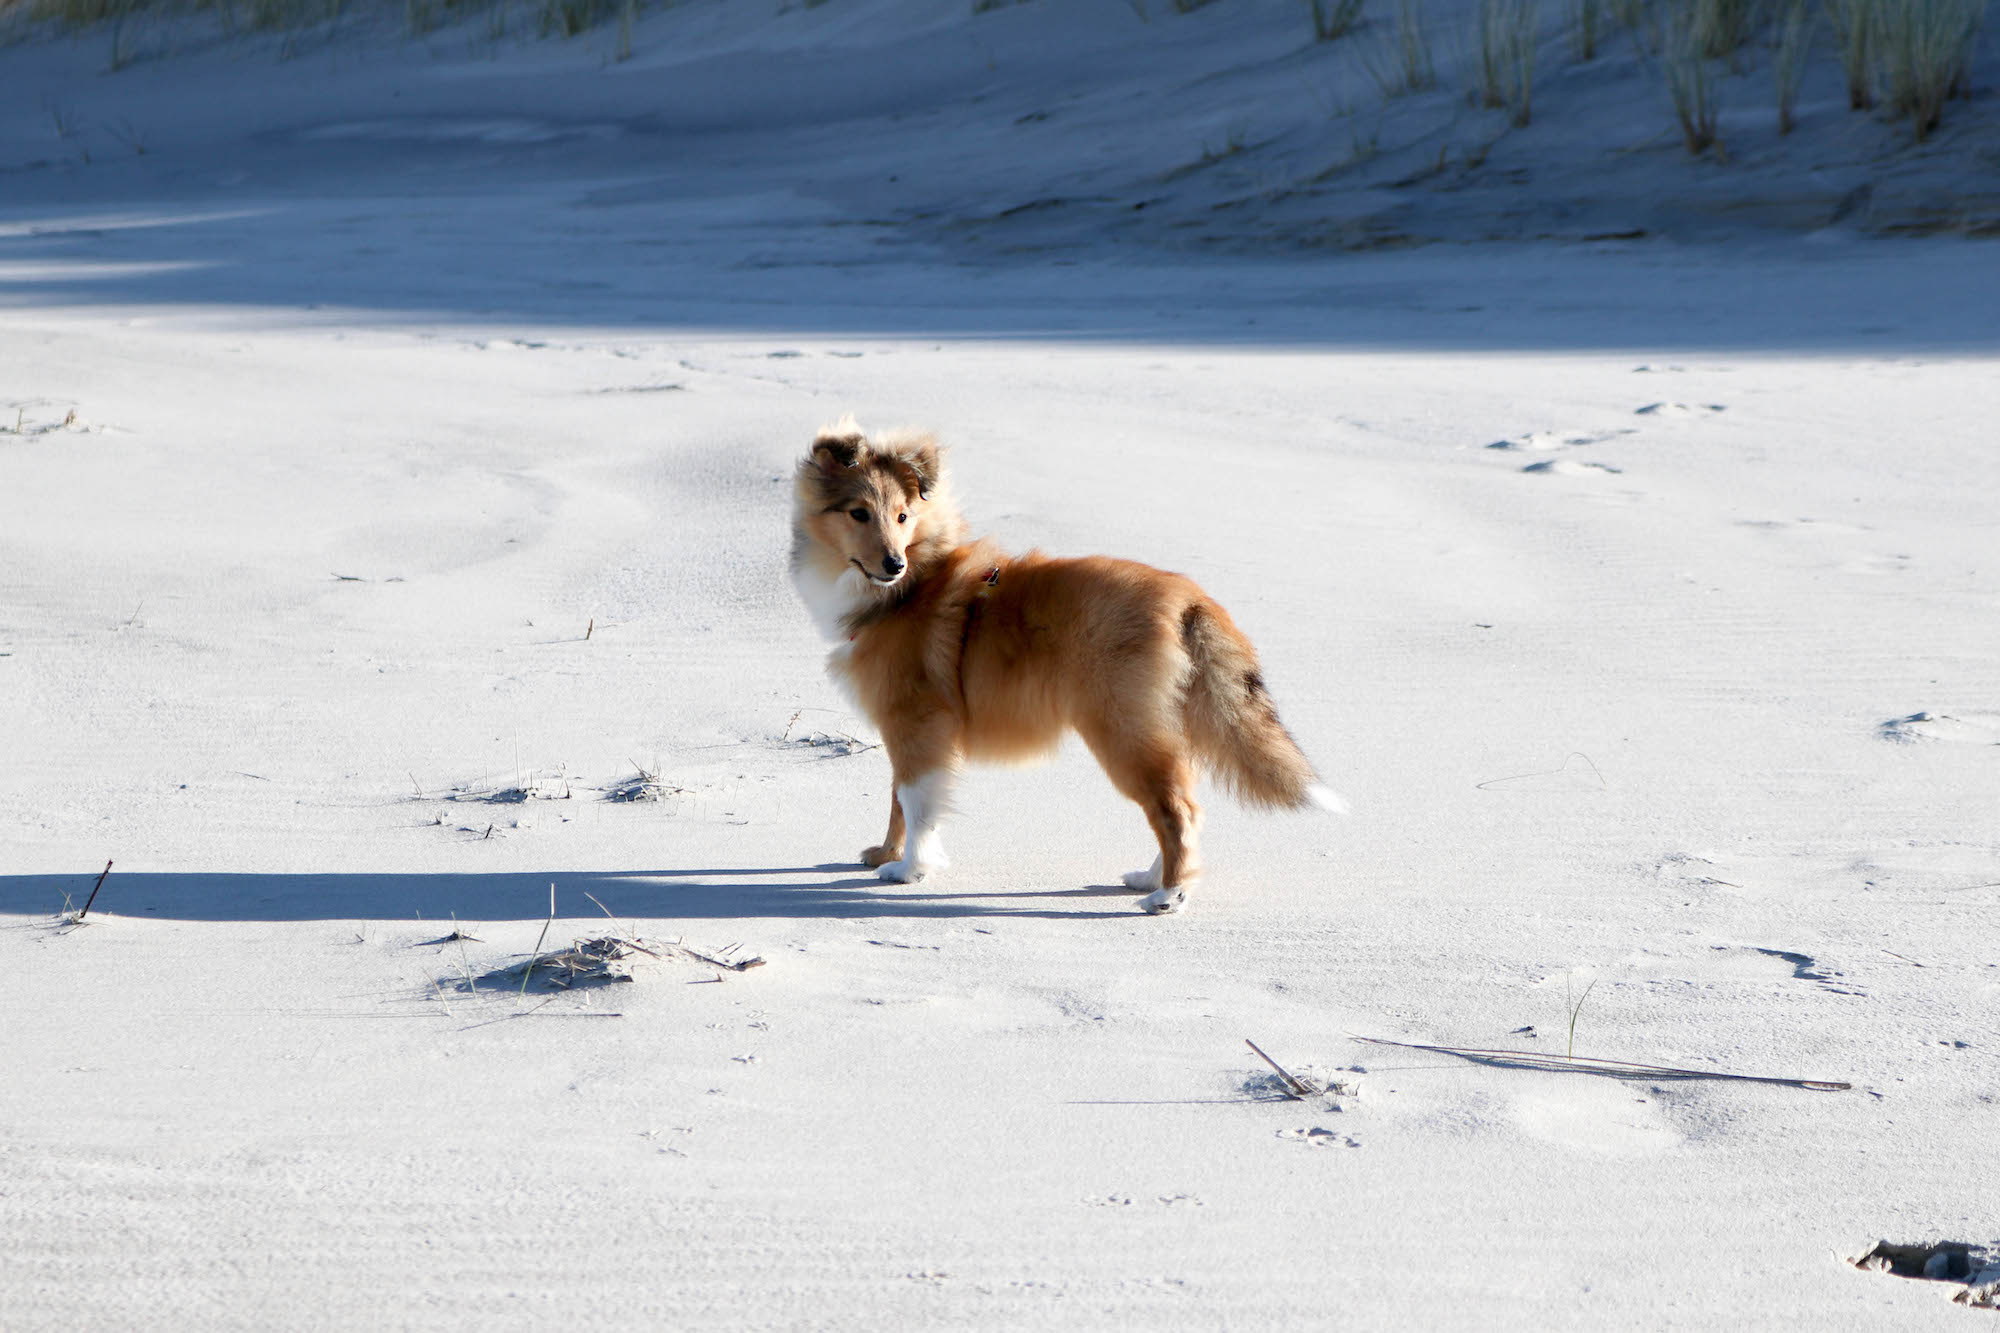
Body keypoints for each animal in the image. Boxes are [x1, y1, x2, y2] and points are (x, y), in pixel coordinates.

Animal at [784, 418, 1344, 912]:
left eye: (903, 517)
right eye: (859, 513)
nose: (893, 564)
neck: (912, 587)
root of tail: (1189, 598)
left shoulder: (915, 723)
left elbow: (915, 800)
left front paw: (908, 869)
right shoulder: (910, 730)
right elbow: (902, 798)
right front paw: (888, 854)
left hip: (1120, 730)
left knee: (1176, 810)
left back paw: (1167, 895)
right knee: (1180, 805)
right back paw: (1154, 878)